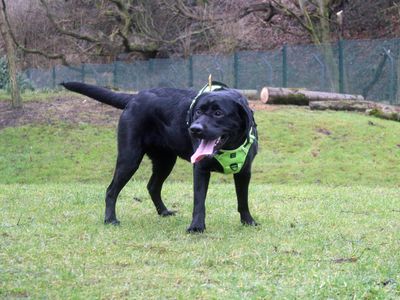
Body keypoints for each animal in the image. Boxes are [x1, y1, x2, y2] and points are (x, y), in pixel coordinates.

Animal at [61, 80, 258, 232]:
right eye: (198, 112)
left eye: (218, 113)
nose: (194, 129)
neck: (229, 149)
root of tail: (134, 97)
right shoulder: (200, 169)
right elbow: (199, 201)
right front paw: (196, 227)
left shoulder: (245, 171)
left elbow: (243, 199)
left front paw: (248, 221)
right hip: (129, 158)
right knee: (111, 190)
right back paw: (110, 219)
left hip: (165, 161)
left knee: (152, 186)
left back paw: (163, 212)